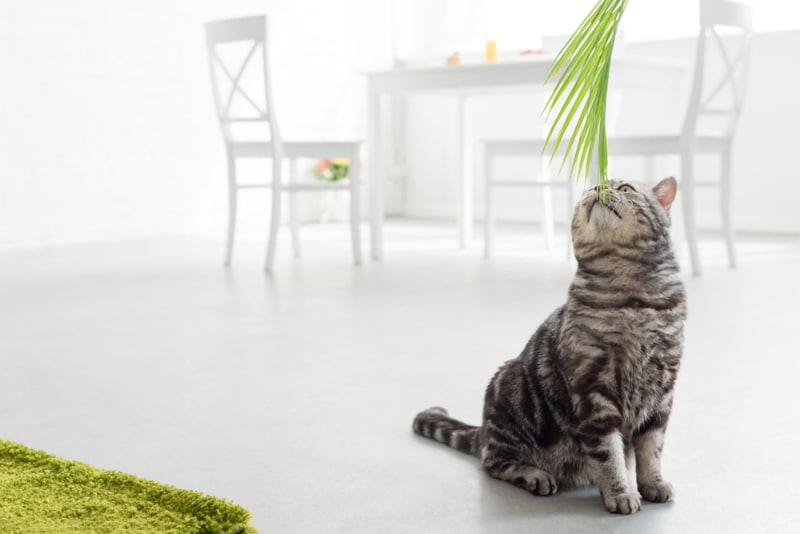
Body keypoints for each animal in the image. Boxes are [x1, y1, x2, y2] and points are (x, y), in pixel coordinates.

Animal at [412, 179, 688, 516]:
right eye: (591, 185)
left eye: (625, 187)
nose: (596, 187)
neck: (633, 302)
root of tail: (484, 429)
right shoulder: (593, 391)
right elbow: (608, 454)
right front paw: (620, 492)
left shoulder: (662, 387)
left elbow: (651, 448)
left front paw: (652, 484)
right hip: (506, 391)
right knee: (493, 462)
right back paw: (536, 475)